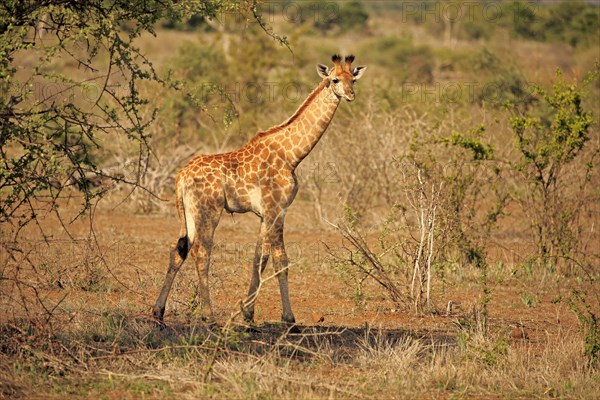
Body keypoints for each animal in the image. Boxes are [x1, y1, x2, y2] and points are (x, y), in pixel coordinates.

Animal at [151, 54, 366, 326]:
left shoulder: (265, 213)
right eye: (334, 79)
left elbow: (259, 258)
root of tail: (181, 177)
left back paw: (158, 312)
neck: (291, 155)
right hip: (208, 210)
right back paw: (208, 315)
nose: (350, 95)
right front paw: (289, 320)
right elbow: (280, 259)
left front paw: (248, 314)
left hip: (188, 212)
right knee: (201, 251)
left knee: (178, 249)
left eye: (353, 79)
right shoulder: (277, 208)